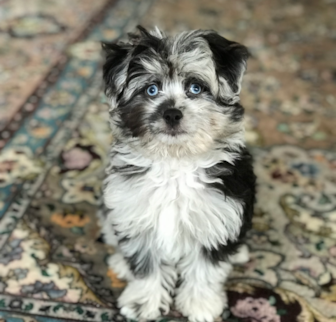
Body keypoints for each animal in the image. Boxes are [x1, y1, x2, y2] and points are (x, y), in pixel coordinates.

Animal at [100, 25, 255, 322]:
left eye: (196, 88)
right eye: (151, 90)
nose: (171, 113)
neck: (174, 162)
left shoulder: (216, 220)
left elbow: (204, 270)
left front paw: (200, 305)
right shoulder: (136, 214)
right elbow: (146, 264)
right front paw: (143, 303)